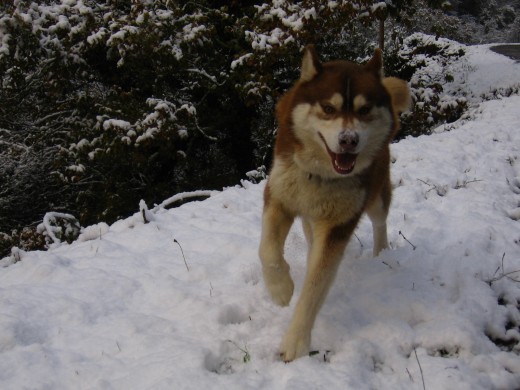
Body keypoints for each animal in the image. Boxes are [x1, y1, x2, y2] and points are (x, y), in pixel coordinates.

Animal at [258, 45, 410, 362]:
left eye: (364, 110)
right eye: (328, 108)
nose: (348, 140)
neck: (320, 175)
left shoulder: (339, 224)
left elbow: (315, 286)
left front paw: (295, 342)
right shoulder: (279, 196)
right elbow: (267, 250)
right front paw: (281, 290)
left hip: (375, 196)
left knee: (380, 221)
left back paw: (381, 251)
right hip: (308, 213)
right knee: (308, 233)